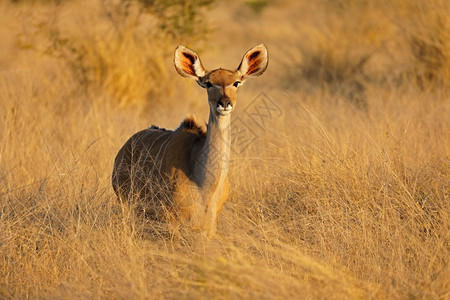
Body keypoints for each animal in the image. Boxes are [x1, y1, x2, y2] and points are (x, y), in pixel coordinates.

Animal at [111, 44, 268, 239]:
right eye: (208, 83)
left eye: (236, 82)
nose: (224, 103)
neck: (204, 186)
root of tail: (123, 150)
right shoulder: (171, 222)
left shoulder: (209, 228)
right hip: (127, 203)